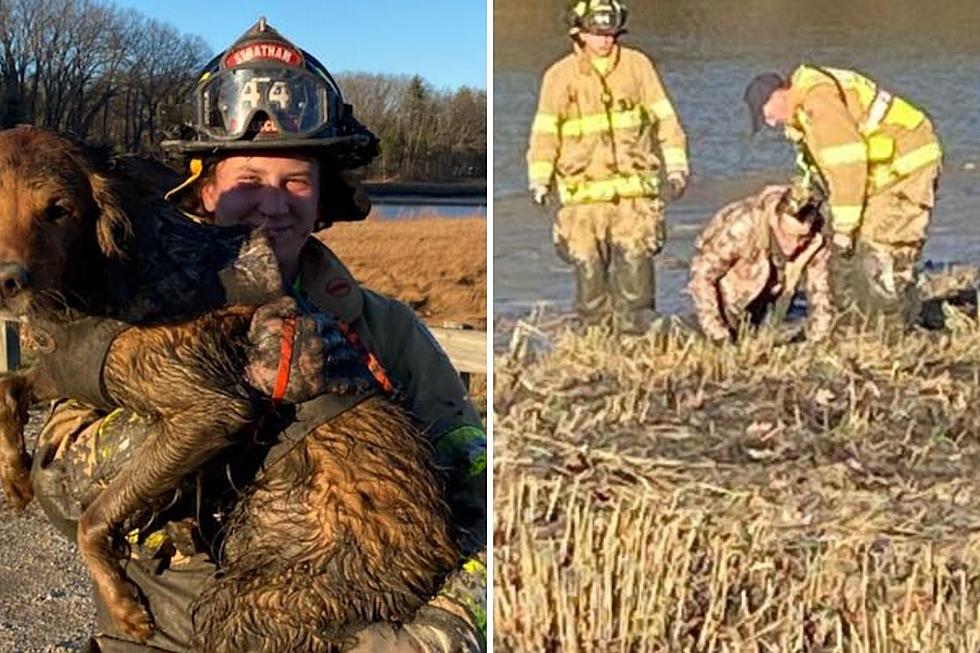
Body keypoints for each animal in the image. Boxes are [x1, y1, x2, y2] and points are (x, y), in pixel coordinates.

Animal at [0, 125, 462, 648]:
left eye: (60, 209)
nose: (8, 282)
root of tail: (439, 552)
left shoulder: (212, 408)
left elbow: (94, 515)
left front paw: (124, 606)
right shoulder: (76, 368)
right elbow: (11, 389)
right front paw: (15, 477)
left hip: (261, 602)